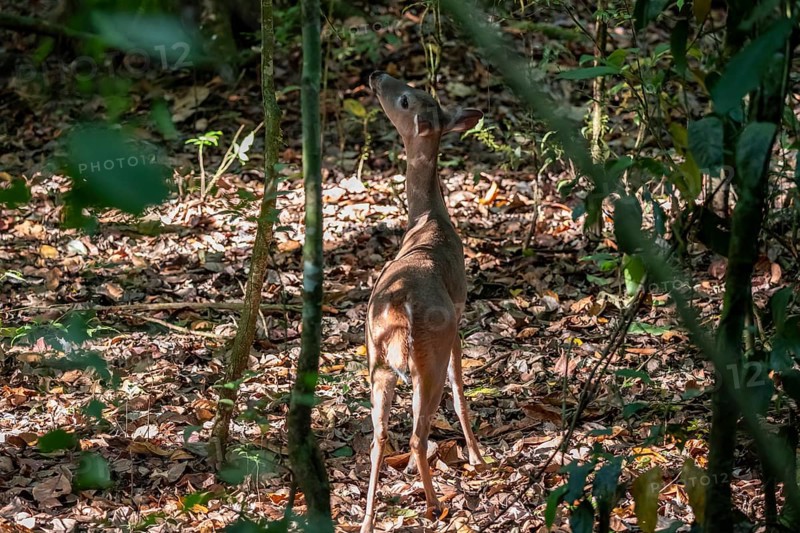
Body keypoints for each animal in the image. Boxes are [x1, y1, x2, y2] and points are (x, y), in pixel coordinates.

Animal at [361, 71, 486, 533]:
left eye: (407, 96)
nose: (376, 75)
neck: (429, 220)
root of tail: (399, 311)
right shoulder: (460, 314)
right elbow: (462, 392)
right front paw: (478, 459)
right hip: (427, 355)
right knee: (417, 433)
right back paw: (434, 505)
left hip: (377, 360)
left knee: (379, 438)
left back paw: (369, 519)